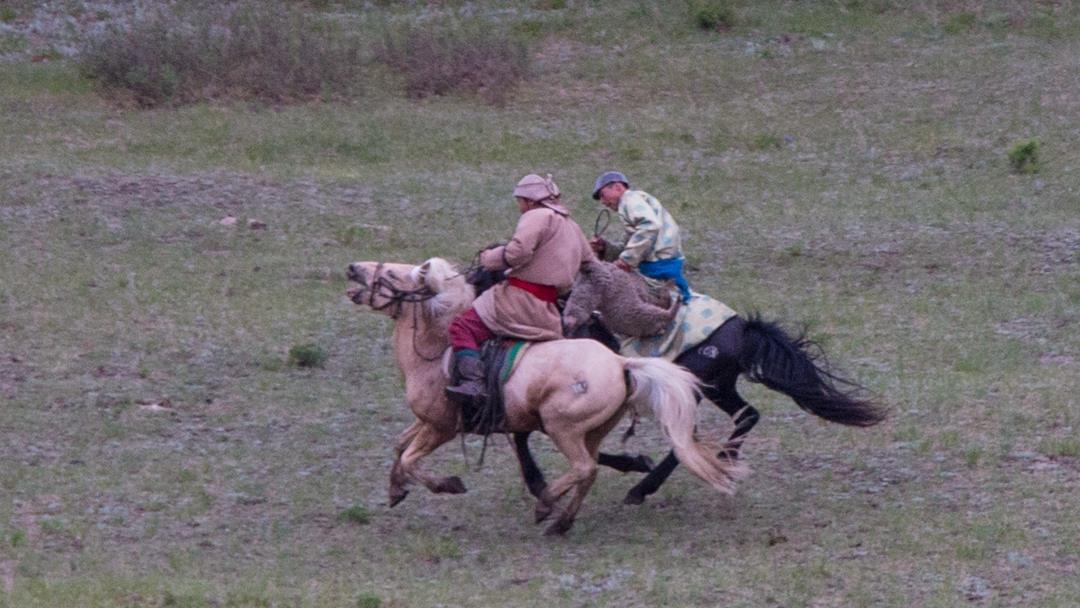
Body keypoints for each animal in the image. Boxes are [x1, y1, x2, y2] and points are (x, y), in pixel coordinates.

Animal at [345, 259, 743, 535]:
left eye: (392, 273)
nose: (352, 268)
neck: (436, 351)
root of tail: (620, 361)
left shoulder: (441, 427)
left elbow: (411, 458)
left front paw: (448, 485)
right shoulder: (426, 422)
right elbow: (399, 446)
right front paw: (396, 490)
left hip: (561, 427)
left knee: (583, 468)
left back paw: (548, 504)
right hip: (591, 431)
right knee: (589, 470)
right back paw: (562, 521)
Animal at [514, 260, 885, 505]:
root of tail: (743, 329)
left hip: (695, 389)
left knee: (687, 441)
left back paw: (644, 488)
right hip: (719, 387)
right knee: (747, 415)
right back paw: (725, 458)